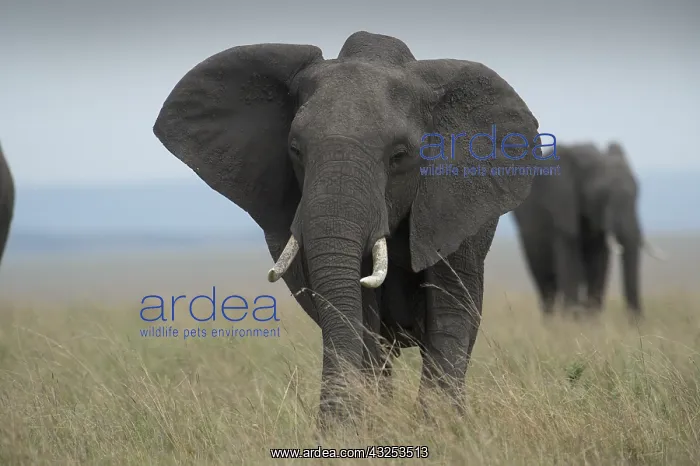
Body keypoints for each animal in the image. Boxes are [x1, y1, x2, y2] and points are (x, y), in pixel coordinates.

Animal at [152, 31, 544, 429]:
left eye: (399, 155)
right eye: (295, 149)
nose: (327, 429)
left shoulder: (454, 203)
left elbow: (450, 309)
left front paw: (440, 429)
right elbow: (359, 314)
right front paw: (363, 429)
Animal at [512, 141, 665, 318]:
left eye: (638, 192)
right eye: (602, 195)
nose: (637, 321)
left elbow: (599, 264)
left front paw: (590, 321)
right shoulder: (562, 205)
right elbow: (570, 263)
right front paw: (572, 320)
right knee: (545, 281)